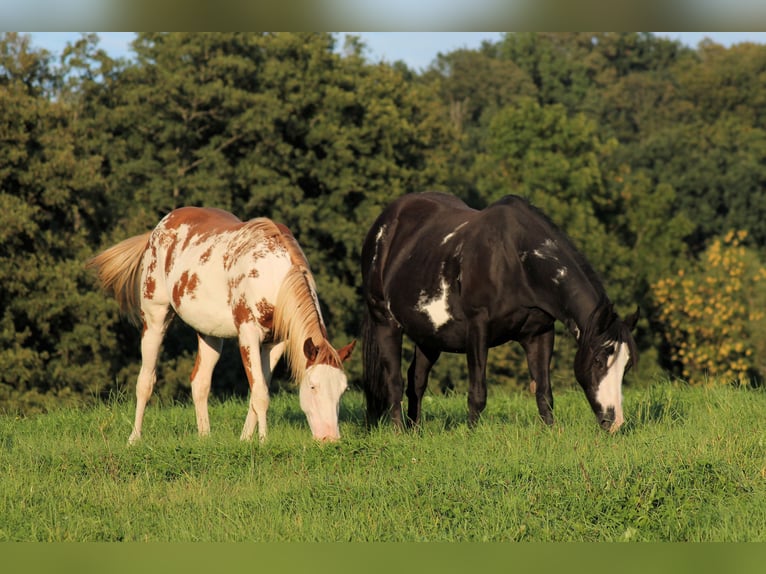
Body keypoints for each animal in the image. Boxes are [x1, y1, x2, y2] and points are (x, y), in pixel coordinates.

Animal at [88, 207, 355, 443]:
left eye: (343, 390)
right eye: (312, 386)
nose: (329, 438)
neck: (272, 274)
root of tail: (159, 227)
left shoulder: (276, 343)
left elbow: (258, 390)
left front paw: (246, 440)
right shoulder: (248, 335)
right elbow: (260, 394)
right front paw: (263, 442)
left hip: (209, 334)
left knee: (200, 382)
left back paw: (204, 438)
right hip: (155, 319)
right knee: (145, 381)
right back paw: (134, 438)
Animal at [361, 192, 638, 432]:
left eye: (626, 365)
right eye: (599, 360)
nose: (614, 422)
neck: (514, 260)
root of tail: (384, 223)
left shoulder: (540, 333)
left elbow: (544, 392)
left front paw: (550, 433)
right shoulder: (477, 329)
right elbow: (477, 393)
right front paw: (471, 436)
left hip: (429, 338)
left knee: (416, 382)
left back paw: (415, 431)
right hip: (385, 323)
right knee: (394, 382)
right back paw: (398, 431)